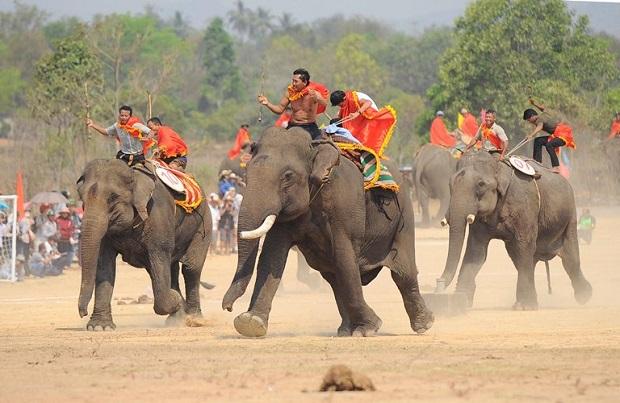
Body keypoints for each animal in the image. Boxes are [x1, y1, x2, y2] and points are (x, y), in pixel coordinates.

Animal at [74, 159, 211, 330]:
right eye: (82, 198)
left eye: (113, 198)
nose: (83, 313)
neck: (134, 173)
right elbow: (104, 263)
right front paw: (100, 327)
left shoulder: (157, 216)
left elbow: (159, 258)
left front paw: (176, 300)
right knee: (170, 269)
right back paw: (178, 317)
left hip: (204, 223)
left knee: (191, 268)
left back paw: (194, 319)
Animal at [220, 128, 434, 340]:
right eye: (246, 173)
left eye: (288, 176)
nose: (227, 307)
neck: (314, 149)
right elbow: (272, 256)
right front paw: (250, 323)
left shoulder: (343, 203)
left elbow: (344, 255)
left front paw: (369, 329)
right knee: (332, 275)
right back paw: (345, 331)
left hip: (403, 214)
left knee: (402, 272)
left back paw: (423, 324)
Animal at [436, 152, 592, 310]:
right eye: (449, 184)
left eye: (481, 184)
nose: (438, 284)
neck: (498, 164)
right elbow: (476, 251)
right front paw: (460, 303)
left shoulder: (525, 206)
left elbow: (524, 245)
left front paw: (526, 307)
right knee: (523, 258)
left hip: (570, 215)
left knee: (569, 259)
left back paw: (584, 296)